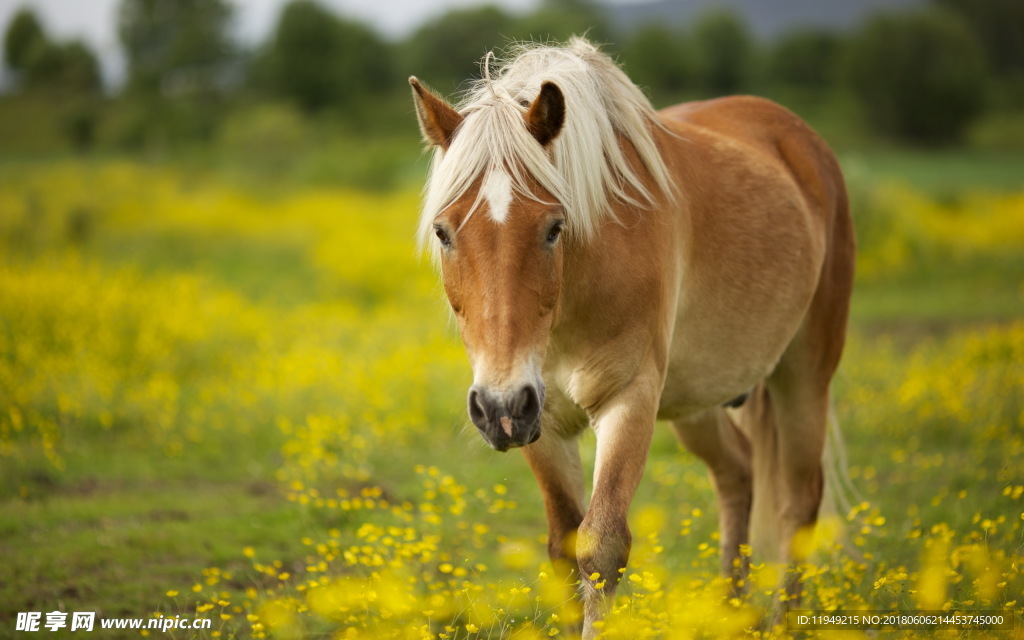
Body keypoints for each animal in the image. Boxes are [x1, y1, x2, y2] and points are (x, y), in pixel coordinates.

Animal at [407, 38, 856, 634]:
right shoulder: (542, 421)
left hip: (804, 374)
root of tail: (802, 140)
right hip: (697, 399)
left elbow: (601, 546)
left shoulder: (629, 399)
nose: (500, 407)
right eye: (443, 231)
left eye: (554, 227)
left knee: (798, 504)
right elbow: (563, 546)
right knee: (737, 474)